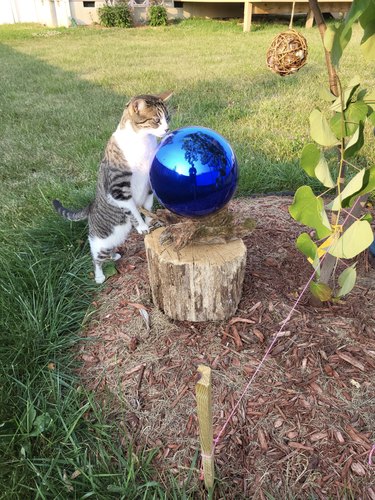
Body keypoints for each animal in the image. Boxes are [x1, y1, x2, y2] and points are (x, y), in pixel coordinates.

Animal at [53, 92, 173, 284]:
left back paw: (115, 255)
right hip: (102, 242)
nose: (167, 129)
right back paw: (99, 276)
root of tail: (90, 206)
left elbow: (147, 206)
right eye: (156, 120)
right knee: (96, 258)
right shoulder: (119, 190)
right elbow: (133, 211)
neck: (143, 143)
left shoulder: (148, 184)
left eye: (167, 118)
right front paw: (142, 226)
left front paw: (149, 222)